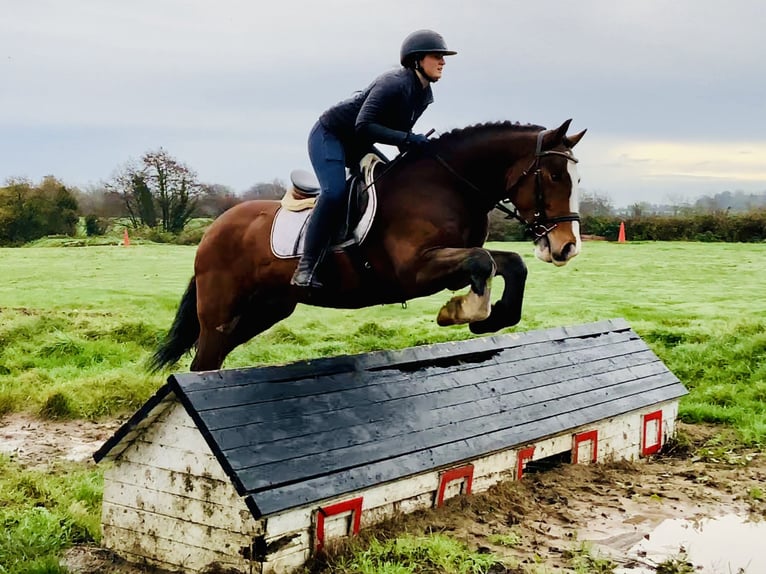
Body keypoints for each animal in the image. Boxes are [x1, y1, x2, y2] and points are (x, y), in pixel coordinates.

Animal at [150, 119, 586, 372]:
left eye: (576, 179)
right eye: (553, 175)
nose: (567, 247)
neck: (446, 185)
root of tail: (214, 228)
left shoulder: (451, 262)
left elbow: (508, 263)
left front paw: (492, 318)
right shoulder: (415, 271)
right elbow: (482, 262)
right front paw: (460, 312)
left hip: (266, 309)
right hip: (221, 311)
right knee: (204, 359)